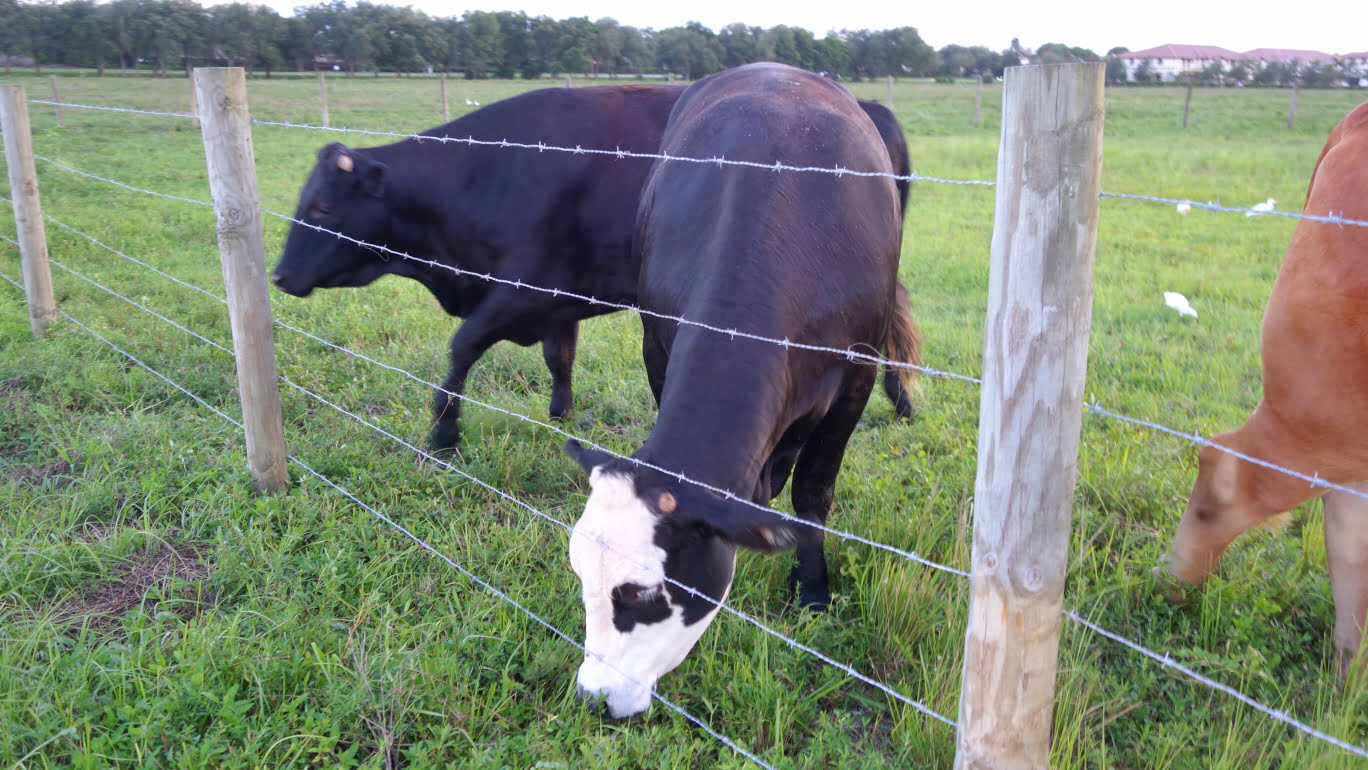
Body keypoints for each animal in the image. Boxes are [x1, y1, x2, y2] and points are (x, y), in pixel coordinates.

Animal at [270, 82, 919, 454]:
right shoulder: (559, 301)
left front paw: (444, 434)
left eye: (322, 206)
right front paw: (561, 419)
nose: (277, 276)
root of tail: (869, 107)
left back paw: (902, 401)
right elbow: (558, 360)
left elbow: (462, 347)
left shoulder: (524, 288)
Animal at [560, 63, 913, 722]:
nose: (592, 697)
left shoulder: (855, 377)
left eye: (640, 593)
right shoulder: (657, 341)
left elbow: (813, 494)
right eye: (580, 575)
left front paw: (813, 591)